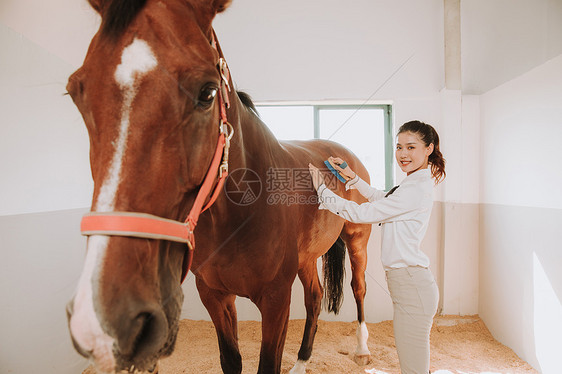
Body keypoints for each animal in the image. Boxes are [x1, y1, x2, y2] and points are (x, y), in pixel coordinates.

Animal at [65, 1, 372, 372]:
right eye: (76, 92)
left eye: (208, 92)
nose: (108, 318)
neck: (241, 214)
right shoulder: (214, 295)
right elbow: (231, 359)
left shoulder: (276, 300)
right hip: (307, 258)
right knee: (314, 298)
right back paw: (301, 362)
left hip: (357, 242)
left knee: (358, 288)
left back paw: (362, 350)